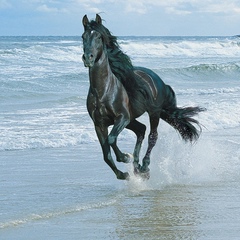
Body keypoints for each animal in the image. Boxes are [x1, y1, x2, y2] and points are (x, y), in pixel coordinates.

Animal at [81, 14, 204, 180]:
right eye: (83, 37)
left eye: (99, 37)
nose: (88, 58)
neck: (103, 91)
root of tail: (158, 79)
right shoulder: (99, 124)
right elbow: (106, 155)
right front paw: (123, 174)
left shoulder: (122, 118)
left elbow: (112, 139)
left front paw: (125, 157)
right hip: (133, 119)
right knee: (141, 130)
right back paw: (137, 167)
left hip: (153, 113)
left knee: (152, 136)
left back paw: (144, 166)